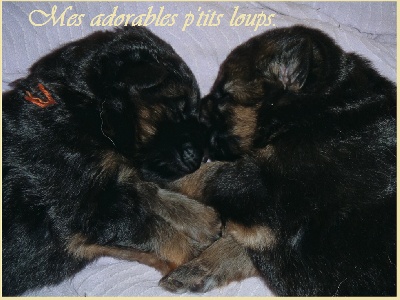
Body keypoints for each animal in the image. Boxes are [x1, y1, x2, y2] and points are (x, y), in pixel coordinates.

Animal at [1, 27, 220, 296]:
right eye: (178, 106)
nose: (202, 157)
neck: (84, 107)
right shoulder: (85, 212)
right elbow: (156, 230)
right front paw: (193, 258)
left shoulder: (114, 173)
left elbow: (149, 190)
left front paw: (202, 219)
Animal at [160, 25, 396, 296]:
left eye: (224, 96)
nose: (196, 110)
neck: (321, 107)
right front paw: (199, 268)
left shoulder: (260, 184)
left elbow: (206, 175)